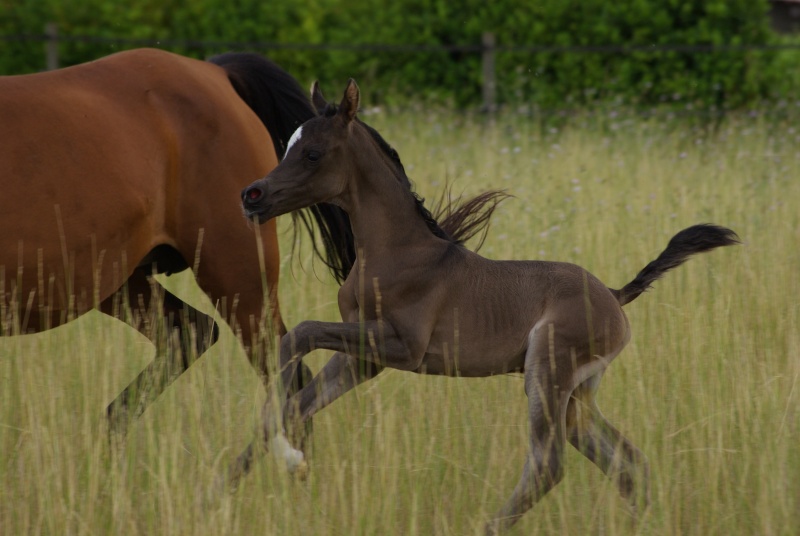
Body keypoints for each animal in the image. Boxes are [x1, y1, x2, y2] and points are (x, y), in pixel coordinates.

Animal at [236, 79, 736, 532]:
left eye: (312, 153)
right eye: (288, 144)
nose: (252, 195)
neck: (395, 249)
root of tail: (614, 295)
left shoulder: (402, 346)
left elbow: (298, 335)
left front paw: (287, 453)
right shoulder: (364, 359)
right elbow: (296, 400)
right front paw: (239, 474)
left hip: (546, 371)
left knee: (549, 463)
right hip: (579, 394)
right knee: (629, 463)